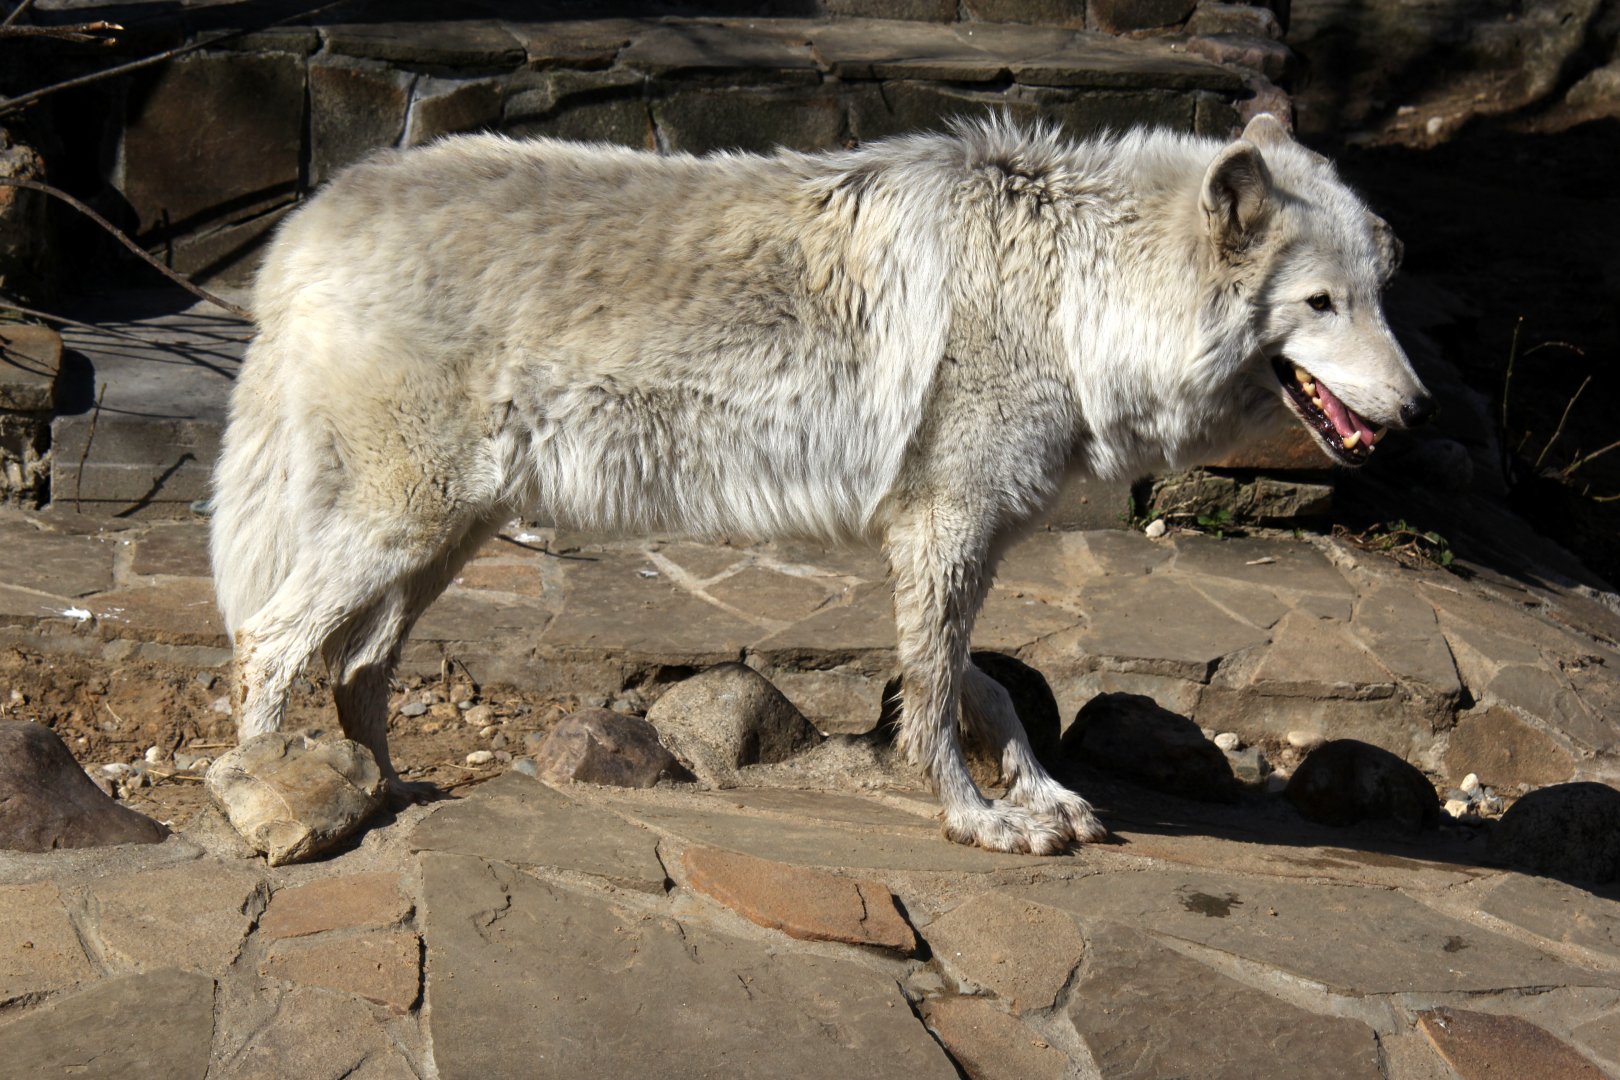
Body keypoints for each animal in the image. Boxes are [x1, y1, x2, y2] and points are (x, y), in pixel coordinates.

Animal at [210, 112, 1431, 854]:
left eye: (1381, 292)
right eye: (1320, 304)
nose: (1418, 408)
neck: (1077, 297)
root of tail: (303, 228)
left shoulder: (941, 536)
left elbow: (979, 689)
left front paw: (1037, 794)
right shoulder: (945, 529)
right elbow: (936, 700)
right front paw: (978, 820)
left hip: (442, 541)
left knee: (357, 666)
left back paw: (385, 792)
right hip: (405, 526)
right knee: (271, 640)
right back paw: (273, 792)